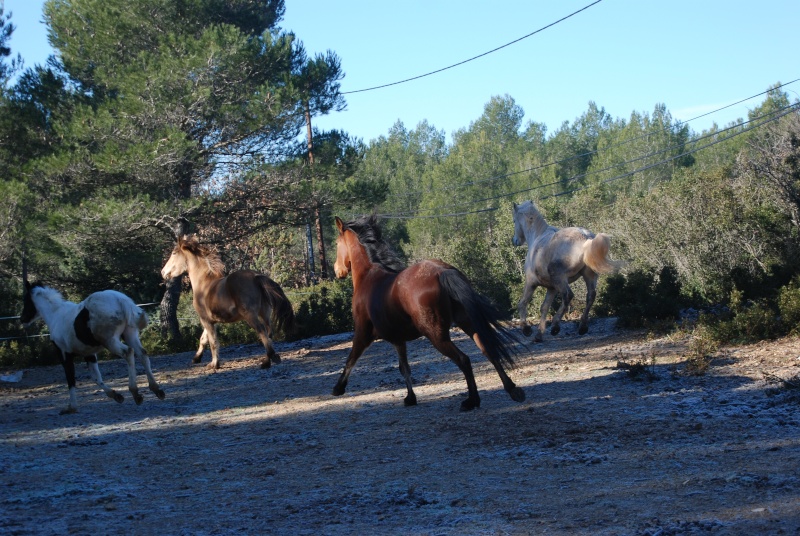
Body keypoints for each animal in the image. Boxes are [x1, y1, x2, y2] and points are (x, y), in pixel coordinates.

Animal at [21, 280, 164, 414]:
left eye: (26, 300)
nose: (23, 320)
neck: (56, 315)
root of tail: (121, 300)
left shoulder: (64, 355)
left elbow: (70, 379)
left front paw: (72, 407)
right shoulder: (89, 354)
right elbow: (96, 377)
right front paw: (116, 395)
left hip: (110, 341)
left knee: (128, 353)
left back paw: (135, 393)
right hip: (130, 334)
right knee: (142, 354)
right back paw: (156, 389)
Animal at [159, 234, 294, 368]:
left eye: (174, 253)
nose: (163, 272)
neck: (203, 284)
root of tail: (255, 277)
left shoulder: (205, 319)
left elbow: (213, 341)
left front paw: (214, 364)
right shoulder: (212, 321)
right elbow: (204, 339)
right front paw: (196, 358)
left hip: (250, 315)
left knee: (261, 331)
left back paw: (271, 358)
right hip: (265, 312)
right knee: (268, 332)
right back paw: (267, 360)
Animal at [332, 214, 524, 410]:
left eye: (336, 243)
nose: (337, 270)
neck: (368, 277)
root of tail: (442, 272)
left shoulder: (363, 333)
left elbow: (351, 358)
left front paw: (338, 388)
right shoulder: (398, 339)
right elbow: (404, 368)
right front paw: (410, 398)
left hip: (437, 336)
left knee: (463, 360)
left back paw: (472, 401)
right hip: (468, 323)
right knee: (489, 350)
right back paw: (512, 390)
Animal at [512, 199, 624, 342]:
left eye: (514, 220)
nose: (515, 240)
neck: (537, 237)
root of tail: (586, 238)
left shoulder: (531, 282)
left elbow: (523, 303)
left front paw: (526, 329)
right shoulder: (551, 288)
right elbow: (544, 307)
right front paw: (539, 335)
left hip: (561, 279)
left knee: (568, 295)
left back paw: (555, 327)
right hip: (589, 275)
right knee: (590, 296)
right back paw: (582, 327)